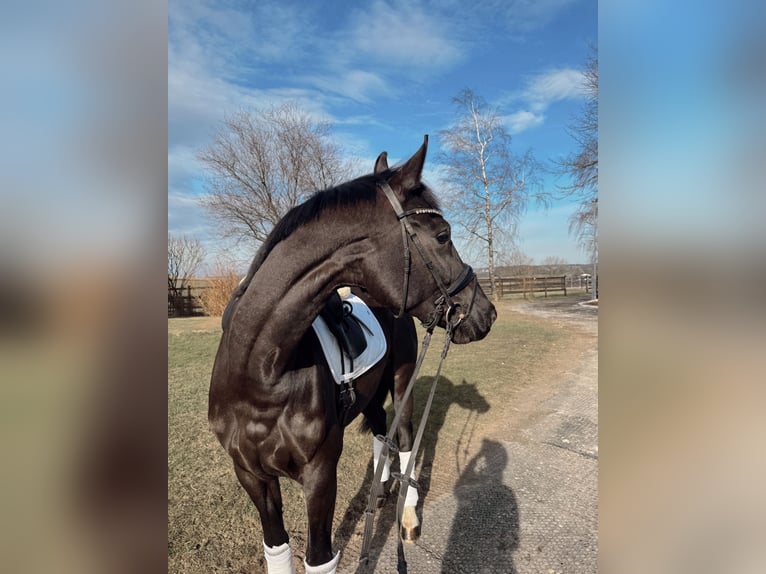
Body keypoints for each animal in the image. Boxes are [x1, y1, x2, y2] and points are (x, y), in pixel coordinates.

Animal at [210, 137, 498, 572]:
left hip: (402, 380)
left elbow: (318, 560)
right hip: (370, 393)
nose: (485, 312)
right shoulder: (252, 475)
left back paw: (407, 515)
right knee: (381, 429)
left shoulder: (319, 476)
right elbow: (276, 550)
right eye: (443, 235)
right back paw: (380, 488)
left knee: (405, 436)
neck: (260, 372)